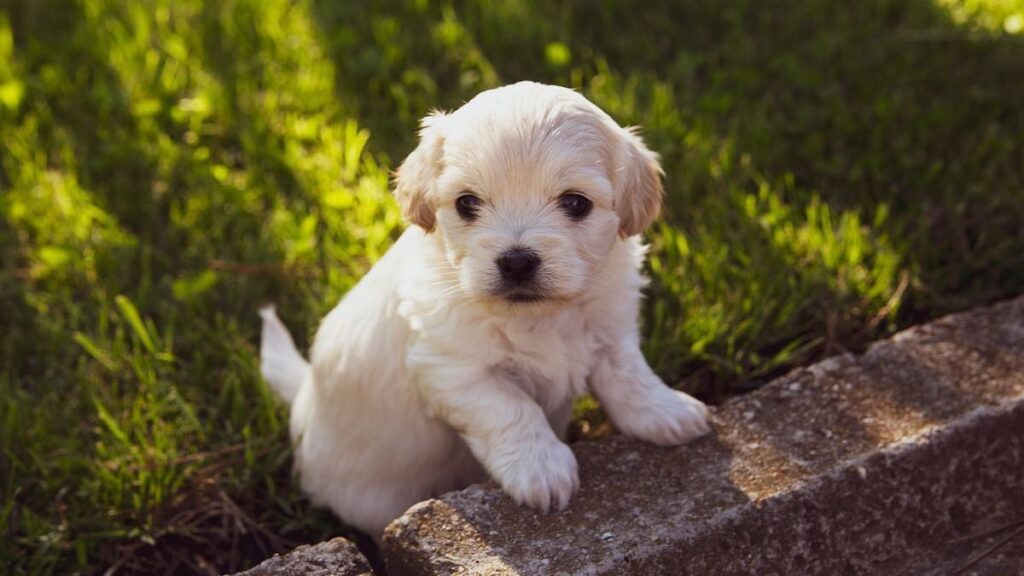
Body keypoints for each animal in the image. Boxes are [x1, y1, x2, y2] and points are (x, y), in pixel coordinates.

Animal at [260, 80, 708, 537]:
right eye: (467, 203)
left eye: (576, 203)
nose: (517, 261)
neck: (539, 317)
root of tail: (303, 399)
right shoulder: (454, 370)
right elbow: (512, 408)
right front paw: (541, 469)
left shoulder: (611, 330)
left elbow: (629, 376)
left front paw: (666, 412)